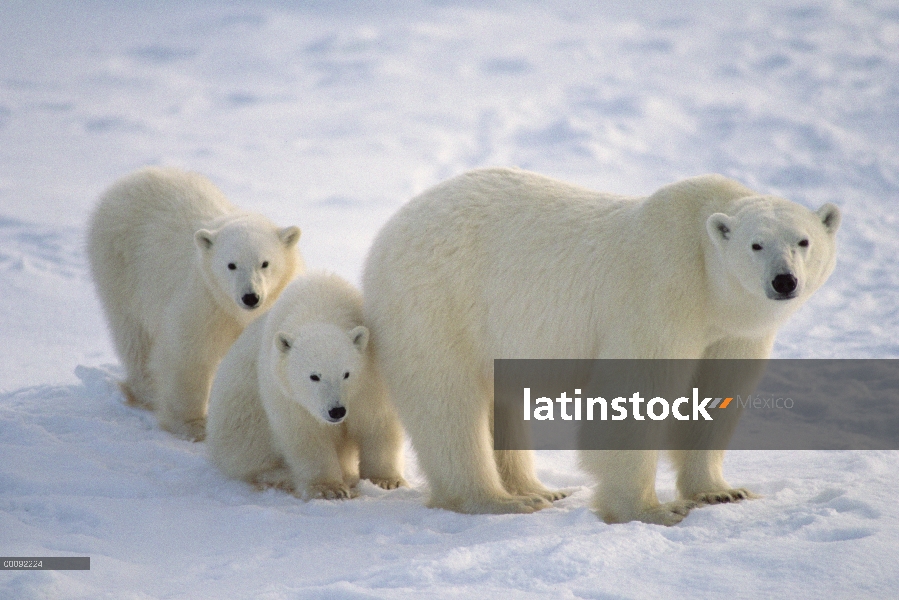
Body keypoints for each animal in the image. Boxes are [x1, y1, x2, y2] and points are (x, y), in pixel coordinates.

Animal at [89, 166, 304, 438]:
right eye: (231, 265)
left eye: (265, 263)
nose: (250, 296)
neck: (234, 311)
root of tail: (130, 179)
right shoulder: (204, 301)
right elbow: (190, 355)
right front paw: (193, 426)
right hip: (119, 268)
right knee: (134, 335)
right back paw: (147, 392)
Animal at [206, 270, 406, 496]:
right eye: (314, 376)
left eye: (346, 374)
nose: (336, 411)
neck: (319, 306)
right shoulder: (288, 396)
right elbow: (308, 436)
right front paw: (330, 489)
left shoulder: (370, 378)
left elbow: (378, 423)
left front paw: (387, 481)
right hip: (241, 423)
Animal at [362, 166, 840, 524]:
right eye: (756, 245)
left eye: (804, 241)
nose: (784, 281)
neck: (706, 277)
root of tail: (389, 230)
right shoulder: (660, 292)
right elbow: (634, 393)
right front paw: (653, 509)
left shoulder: (733, 332)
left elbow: (717, 394)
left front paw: (723, 492)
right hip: (439, 303)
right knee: (448, 405)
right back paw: (501, 500)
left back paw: (540, 490)